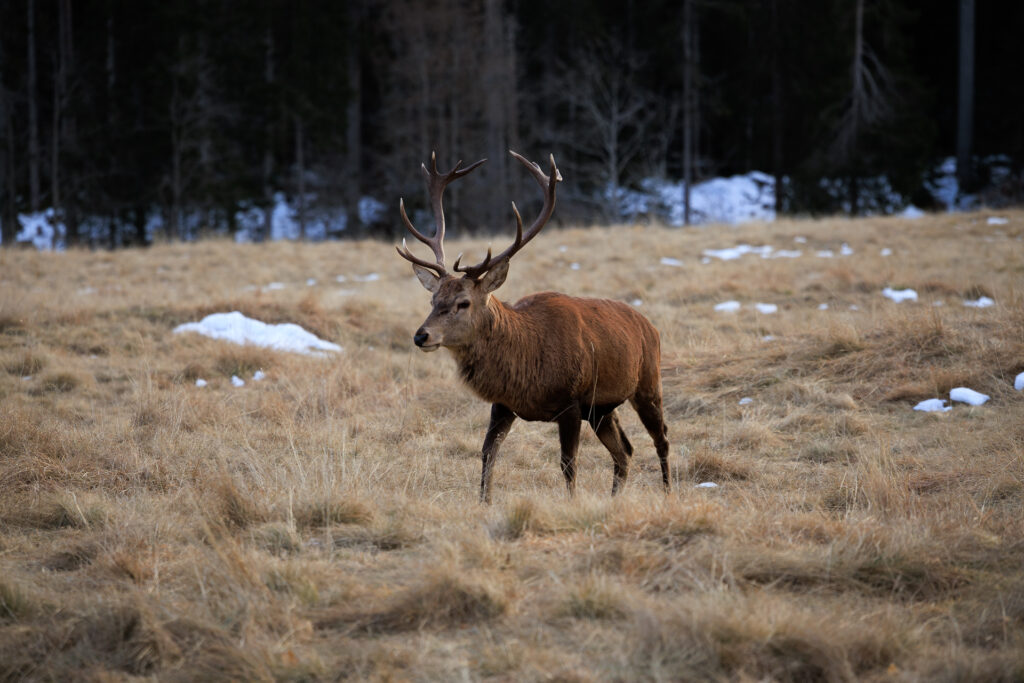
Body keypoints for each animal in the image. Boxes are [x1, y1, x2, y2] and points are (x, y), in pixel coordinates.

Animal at [397, 150, 671, 501]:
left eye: (463, 303)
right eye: (433, 300)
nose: (422, 336)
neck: (527, 366)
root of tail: (649, 326)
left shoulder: (571, 401)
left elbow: (568, 463)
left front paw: (571, 502)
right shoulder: (503, 404)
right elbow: (488, 454)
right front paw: (484, 502)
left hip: (647, 383)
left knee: (661, 439)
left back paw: (669, 492)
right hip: (602, 409)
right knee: (625, 450)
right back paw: (615, 498)